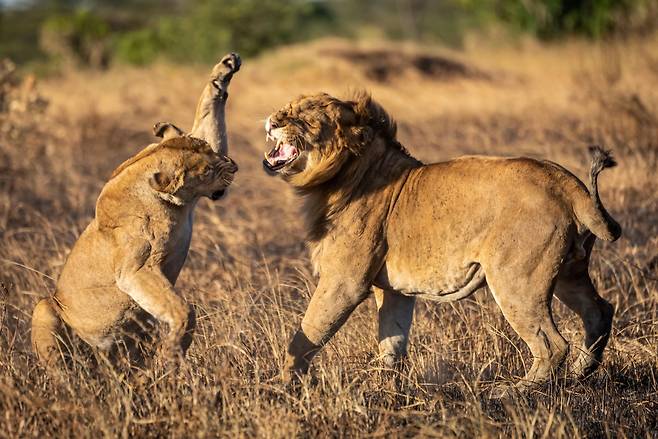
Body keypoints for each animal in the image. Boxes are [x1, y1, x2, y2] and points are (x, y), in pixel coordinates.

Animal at [30, 53, 241, 366]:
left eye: (210, 151)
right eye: (206, 171)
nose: (234, 166)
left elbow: (208, 116)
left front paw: (223, 70)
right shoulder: (136, 270)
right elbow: (183, 309)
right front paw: (171, 354)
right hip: (45, 306)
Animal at [262, 92, 620, 396]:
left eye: (303, 117)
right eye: (285, 108)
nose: (272, 121)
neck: (340, 177)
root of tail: (568, 183)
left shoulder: (344, 282)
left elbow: (308, 333)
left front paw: (282, 385)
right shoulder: (394, 290)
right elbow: (392, 342)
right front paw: (386, 389)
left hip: (516, 280)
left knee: (553, 343)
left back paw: (516, 391)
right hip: (569, 271)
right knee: (599, 311)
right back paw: (579, 374)